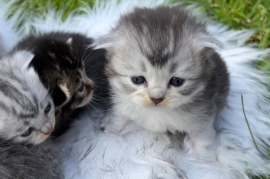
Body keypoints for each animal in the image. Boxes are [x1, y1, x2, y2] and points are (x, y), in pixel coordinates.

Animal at [95, 5, 230, 155]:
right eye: (137, 79)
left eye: (177, 81)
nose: (156, 99)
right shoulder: (122, 100)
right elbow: (119, 116)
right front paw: (111, 128)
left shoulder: (203, 114)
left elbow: (203, 140)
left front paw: (204, 158)